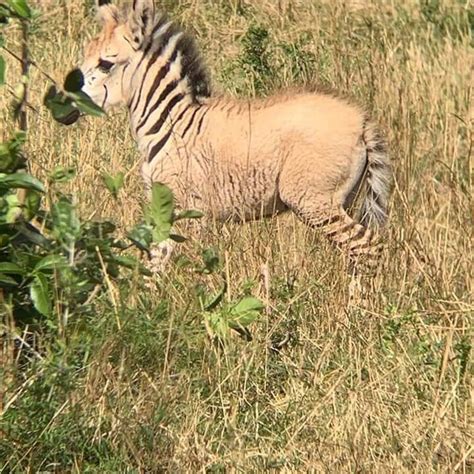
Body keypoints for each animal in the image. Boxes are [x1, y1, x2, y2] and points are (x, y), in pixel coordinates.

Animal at [68, 0, 390, 266]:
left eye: (105, 64)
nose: (65, 105)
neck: (171, 122)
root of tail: (361, 119)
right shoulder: (167, 207)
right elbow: (156, 263)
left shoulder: (185, 209)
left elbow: (174, 264)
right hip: (343, 199)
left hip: (314, 201)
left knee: (368, 248)